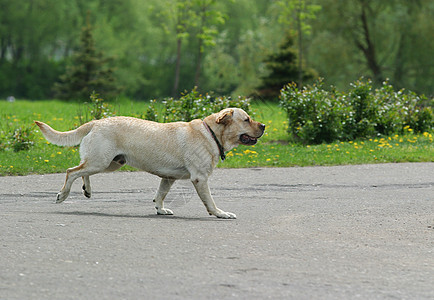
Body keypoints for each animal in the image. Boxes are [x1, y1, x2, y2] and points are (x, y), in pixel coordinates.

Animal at [35, 108, 264, 218]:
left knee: (82, 170)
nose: (263, 126)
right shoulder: (200, 179)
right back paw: (63, 195)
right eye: (246, 119)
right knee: (72, 171)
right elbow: (210, 201)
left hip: (110, 163)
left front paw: (160, 210)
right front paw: (220, 214)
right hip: (101, 161)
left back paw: (87, 190)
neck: (211, 133)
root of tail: (97, 122)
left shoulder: (168, 178)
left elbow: (160, 195)